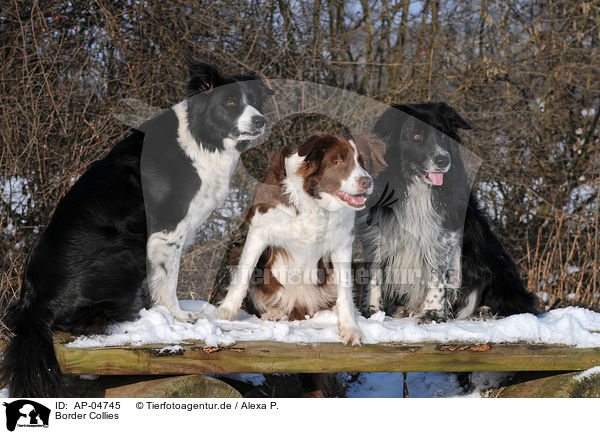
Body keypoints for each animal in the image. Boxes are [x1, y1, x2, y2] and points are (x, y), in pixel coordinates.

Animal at [0, 60, 272, 396]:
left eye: (254, 101)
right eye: (231, 102)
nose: (261, 121)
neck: (201, 137)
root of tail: (32, 305)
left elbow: (158, 284)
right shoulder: (167, 231)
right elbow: (168, 282)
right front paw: (178, 319)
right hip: (126, 249)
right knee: (82, 322)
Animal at [216, 134, 372, 344]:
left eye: (363, 163)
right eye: (338, 162)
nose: (367, 182)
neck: (313, 201)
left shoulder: (342, 243)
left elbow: (345, 290)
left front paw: (350, 329)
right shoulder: (260, 228)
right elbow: (244, 274)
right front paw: (225, 311)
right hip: (236, 254)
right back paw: (273, 312)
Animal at [360, 102, 540, 322]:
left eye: (444, 135)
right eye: (416, 136)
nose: (443, 160)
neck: (416, 186)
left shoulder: (447, 232)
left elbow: (437, 274)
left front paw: (433, 312)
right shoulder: (379, 230)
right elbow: (374, 273)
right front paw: (372, 310)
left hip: (496, 266)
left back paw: (483, 311)